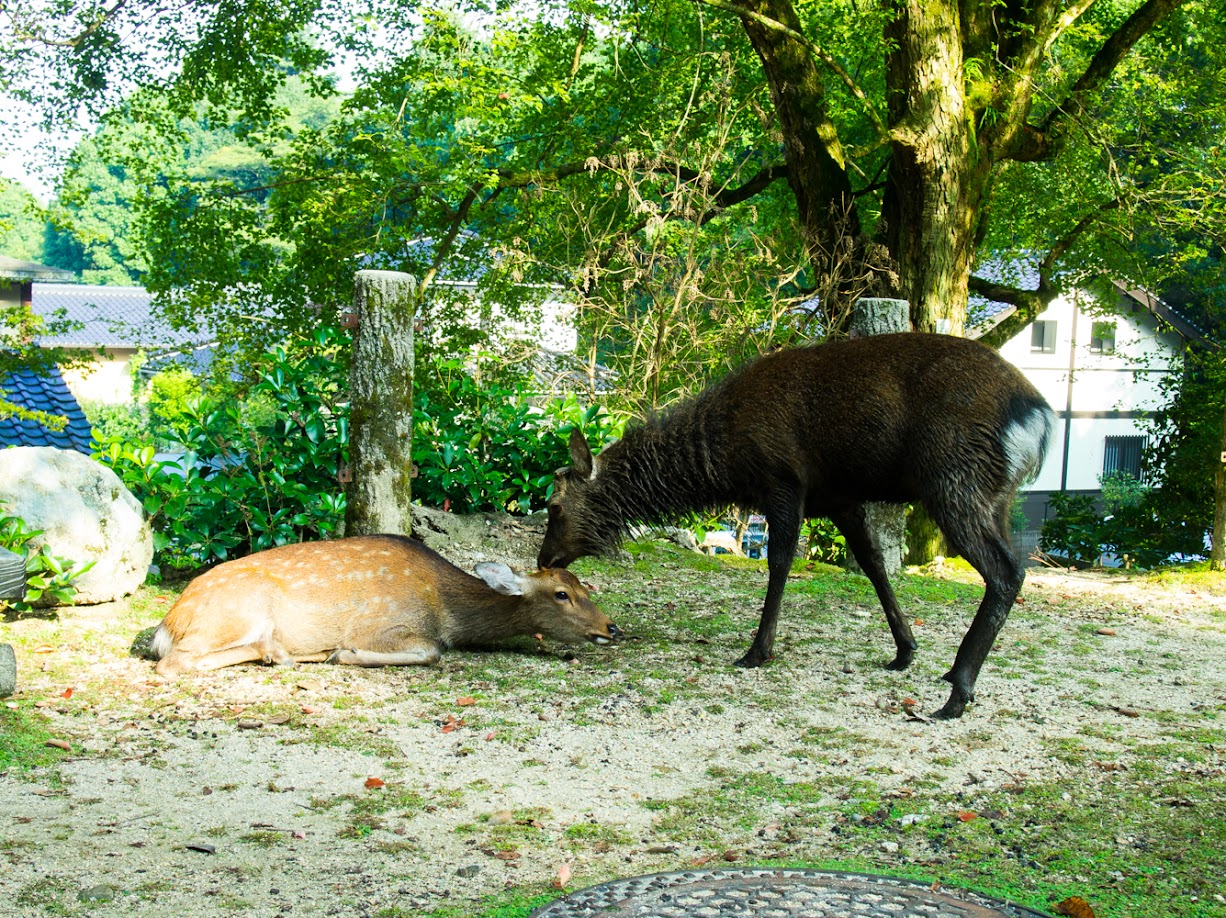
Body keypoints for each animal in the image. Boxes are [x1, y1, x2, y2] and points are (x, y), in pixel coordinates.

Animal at [150, 534, 622, 676]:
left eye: (585, 586)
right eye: (561, 594)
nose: (611, 628)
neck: (446, 610)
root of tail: (167, 623)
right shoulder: (385, 624)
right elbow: (432, 652)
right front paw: (344, 653)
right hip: (234, 613)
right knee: (174, 662)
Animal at [541, 333, 1059, 720]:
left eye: (553, 506)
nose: (544, 560)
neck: (726, 460)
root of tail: (1039, 417)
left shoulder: (783, 480)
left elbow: (780, 561)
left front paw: (757, 651)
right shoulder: (839, 497)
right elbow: (873, 562)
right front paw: (904, 650)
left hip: (955, 478)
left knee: (1007, 570)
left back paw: (958, 691)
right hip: (996, 494)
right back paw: (952, 675)